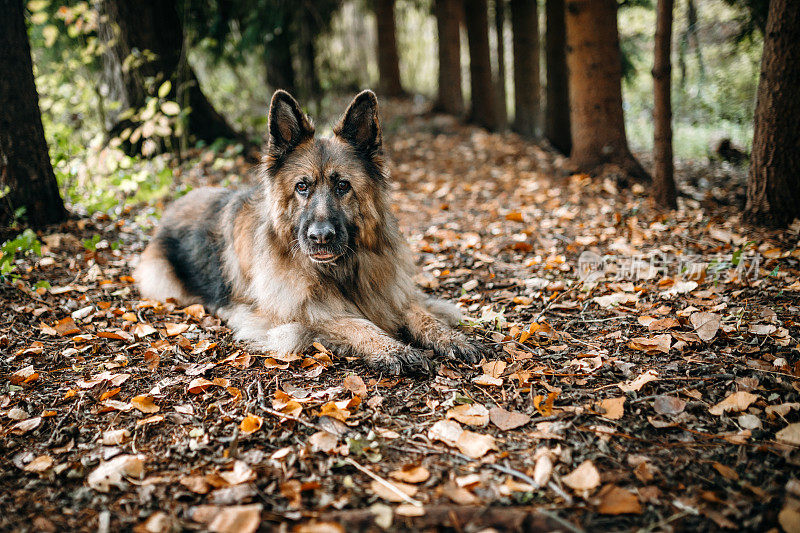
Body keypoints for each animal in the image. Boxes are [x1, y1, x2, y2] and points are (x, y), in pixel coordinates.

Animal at [136, 90, 482, 374]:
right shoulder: (288, 318)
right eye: (302, 187)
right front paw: (391, 348)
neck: (339, 272)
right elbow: (350, 322)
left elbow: (420, 314)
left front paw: (450, 337)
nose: (321, 237)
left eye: (343, 186)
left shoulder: (389, 292)